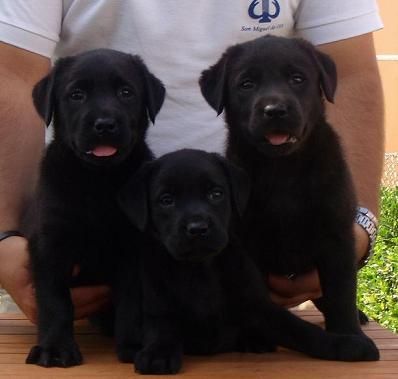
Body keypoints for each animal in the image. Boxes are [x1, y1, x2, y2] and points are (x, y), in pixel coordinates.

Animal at [24, 49, 166, 366]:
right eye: (76, 94)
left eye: (126, 92)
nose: (104, 124)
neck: (96, 180)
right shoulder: (50, 244)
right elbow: (54, 299)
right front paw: (55, 347)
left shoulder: (132, 247)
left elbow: (131, 300)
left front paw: (134, 344)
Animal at [118, 150, 380, 376]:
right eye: (166, 200)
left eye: (216, 194)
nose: (198, 228)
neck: (199, 270)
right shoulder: (158, 304)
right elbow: (161, 328)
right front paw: (157, 353)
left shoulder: (258, 306)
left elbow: (300, 329)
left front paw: (345, 344)